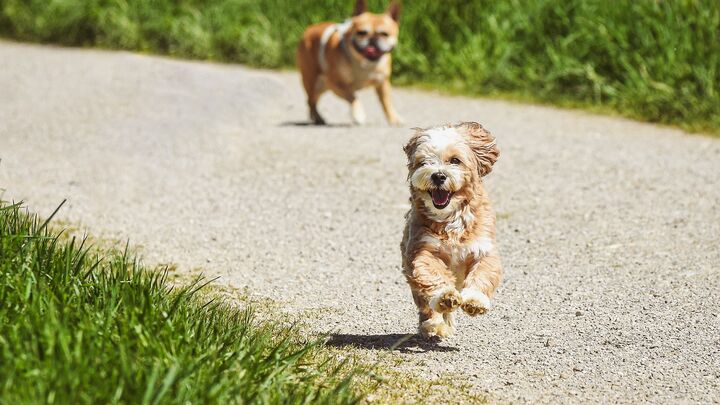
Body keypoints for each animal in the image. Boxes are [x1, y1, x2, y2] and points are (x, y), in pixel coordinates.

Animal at [400, 122, 500, 338]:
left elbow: (483, 274)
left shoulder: (484, 249)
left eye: (455, 160)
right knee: (426, 303)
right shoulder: (422, 249)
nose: (438, 175)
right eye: (424, 162)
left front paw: (475, 300)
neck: (450, 218)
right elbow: (432, 274)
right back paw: (434, 323)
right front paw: (445, 296)